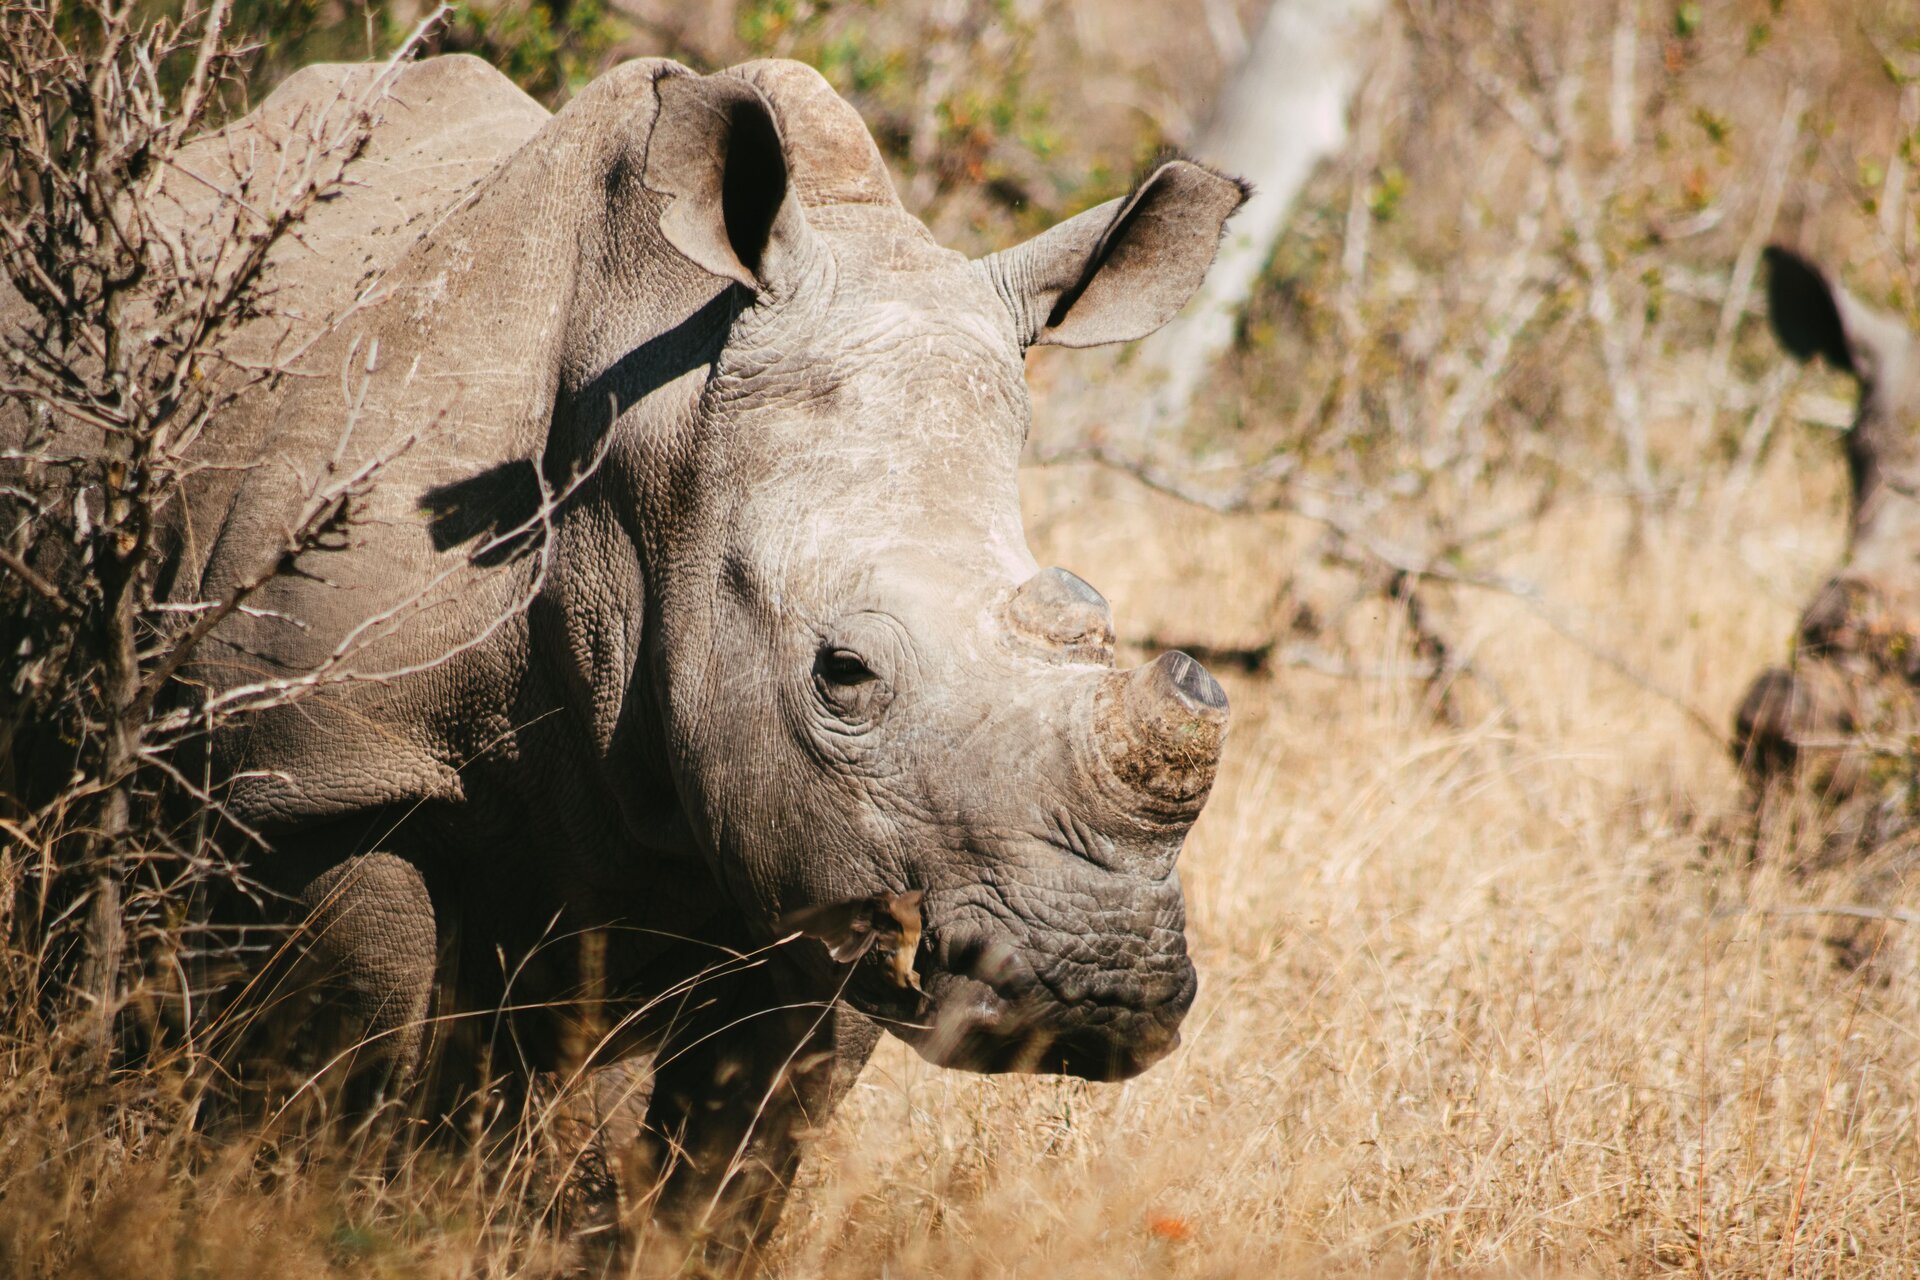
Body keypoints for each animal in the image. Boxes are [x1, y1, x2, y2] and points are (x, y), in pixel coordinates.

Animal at [1, 54, 1245, 1257]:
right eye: (841, 672)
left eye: (1091, 619)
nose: (1099, 989)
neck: (658, 465)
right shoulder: (326, 772)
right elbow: (335, 1073)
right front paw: (303, 1223)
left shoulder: (839, 862)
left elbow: (734, 1164)